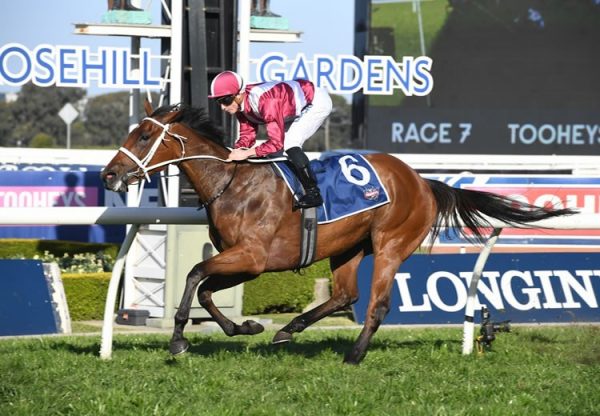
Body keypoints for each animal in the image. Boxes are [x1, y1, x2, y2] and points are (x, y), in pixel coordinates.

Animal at [102, 103, 572, 364]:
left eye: (145, 134)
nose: (108, 175)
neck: (233, 182)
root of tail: (422, 181)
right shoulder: (245, 262)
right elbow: (203, 289)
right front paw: (246, 328)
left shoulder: (252, 258)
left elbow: (195, 276)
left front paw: (179, 341)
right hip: (348, 248)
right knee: (346, 294)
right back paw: (289, 329)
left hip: (391, 244)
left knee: (376, 305)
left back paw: (354, 354)